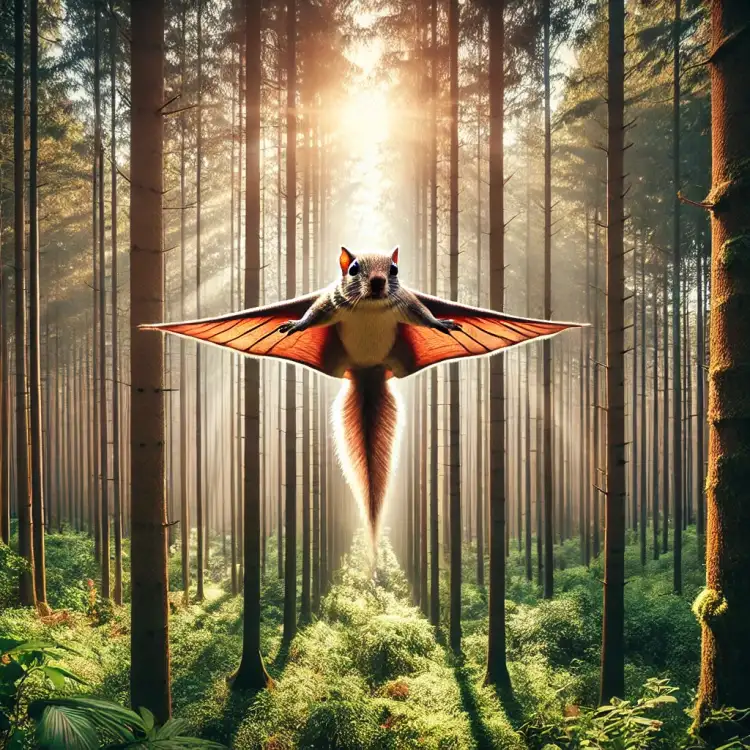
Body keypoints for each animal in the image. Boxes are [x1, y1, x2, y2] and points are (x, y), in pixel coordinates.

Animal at [142, 246, 579, 539]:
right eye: (353, 268)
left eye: (395, 268)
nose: (378, 281)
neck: (370, 308)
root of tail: (368, 373)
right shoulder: (328, 302)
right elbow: (310, 316)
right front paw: (293, 325)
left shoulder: (409, 304)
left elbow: (426, 317)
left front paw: (445, 323)